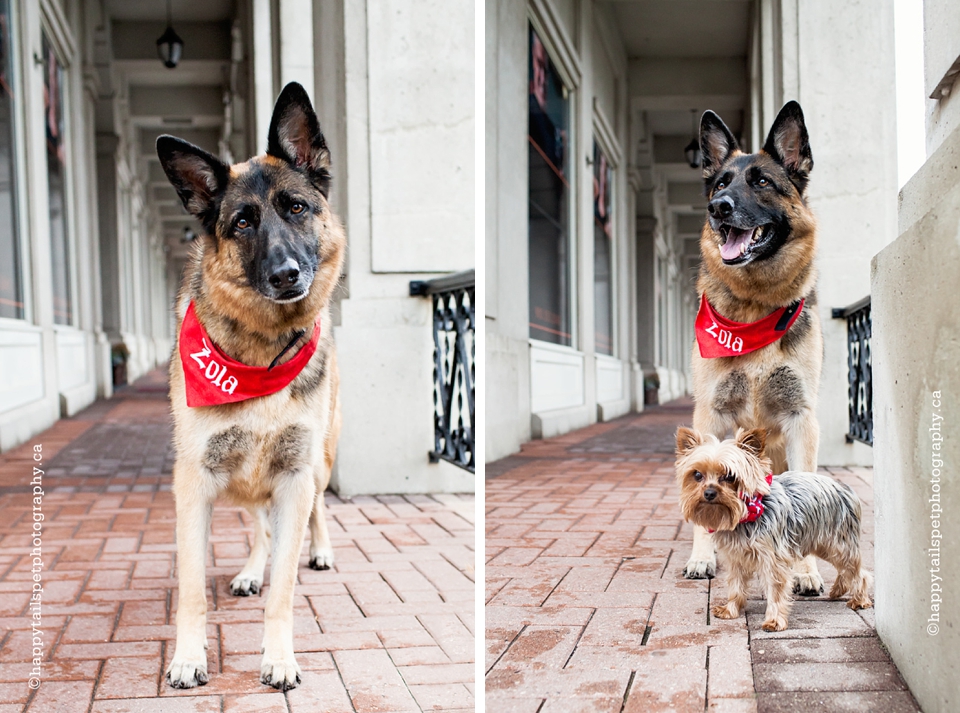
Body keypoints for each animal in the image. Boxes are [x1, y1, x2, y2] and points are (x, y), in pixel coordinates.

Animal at [159, 83, 346, 688]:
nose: (287, 275)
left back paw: (321, 550)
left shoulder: (294, 476)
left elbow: (283, 591)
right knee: (261, 525)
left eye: (296, 208)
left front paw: (279, 658)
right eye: (242, 223)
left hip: (317, 465)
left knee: (315, 509)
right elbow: (193, 590)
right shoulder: (194, 483)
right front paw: (188, 658)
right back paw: (249, 570)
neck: (262, 353)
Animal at [684, 103, 824, 596]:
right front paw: (703, 555)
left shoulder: (802, 418)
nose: (717, 208)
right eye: (720, 184)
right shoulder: (710, 414)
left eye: (762, 181)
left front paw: (806, 570)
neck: (756, 306)